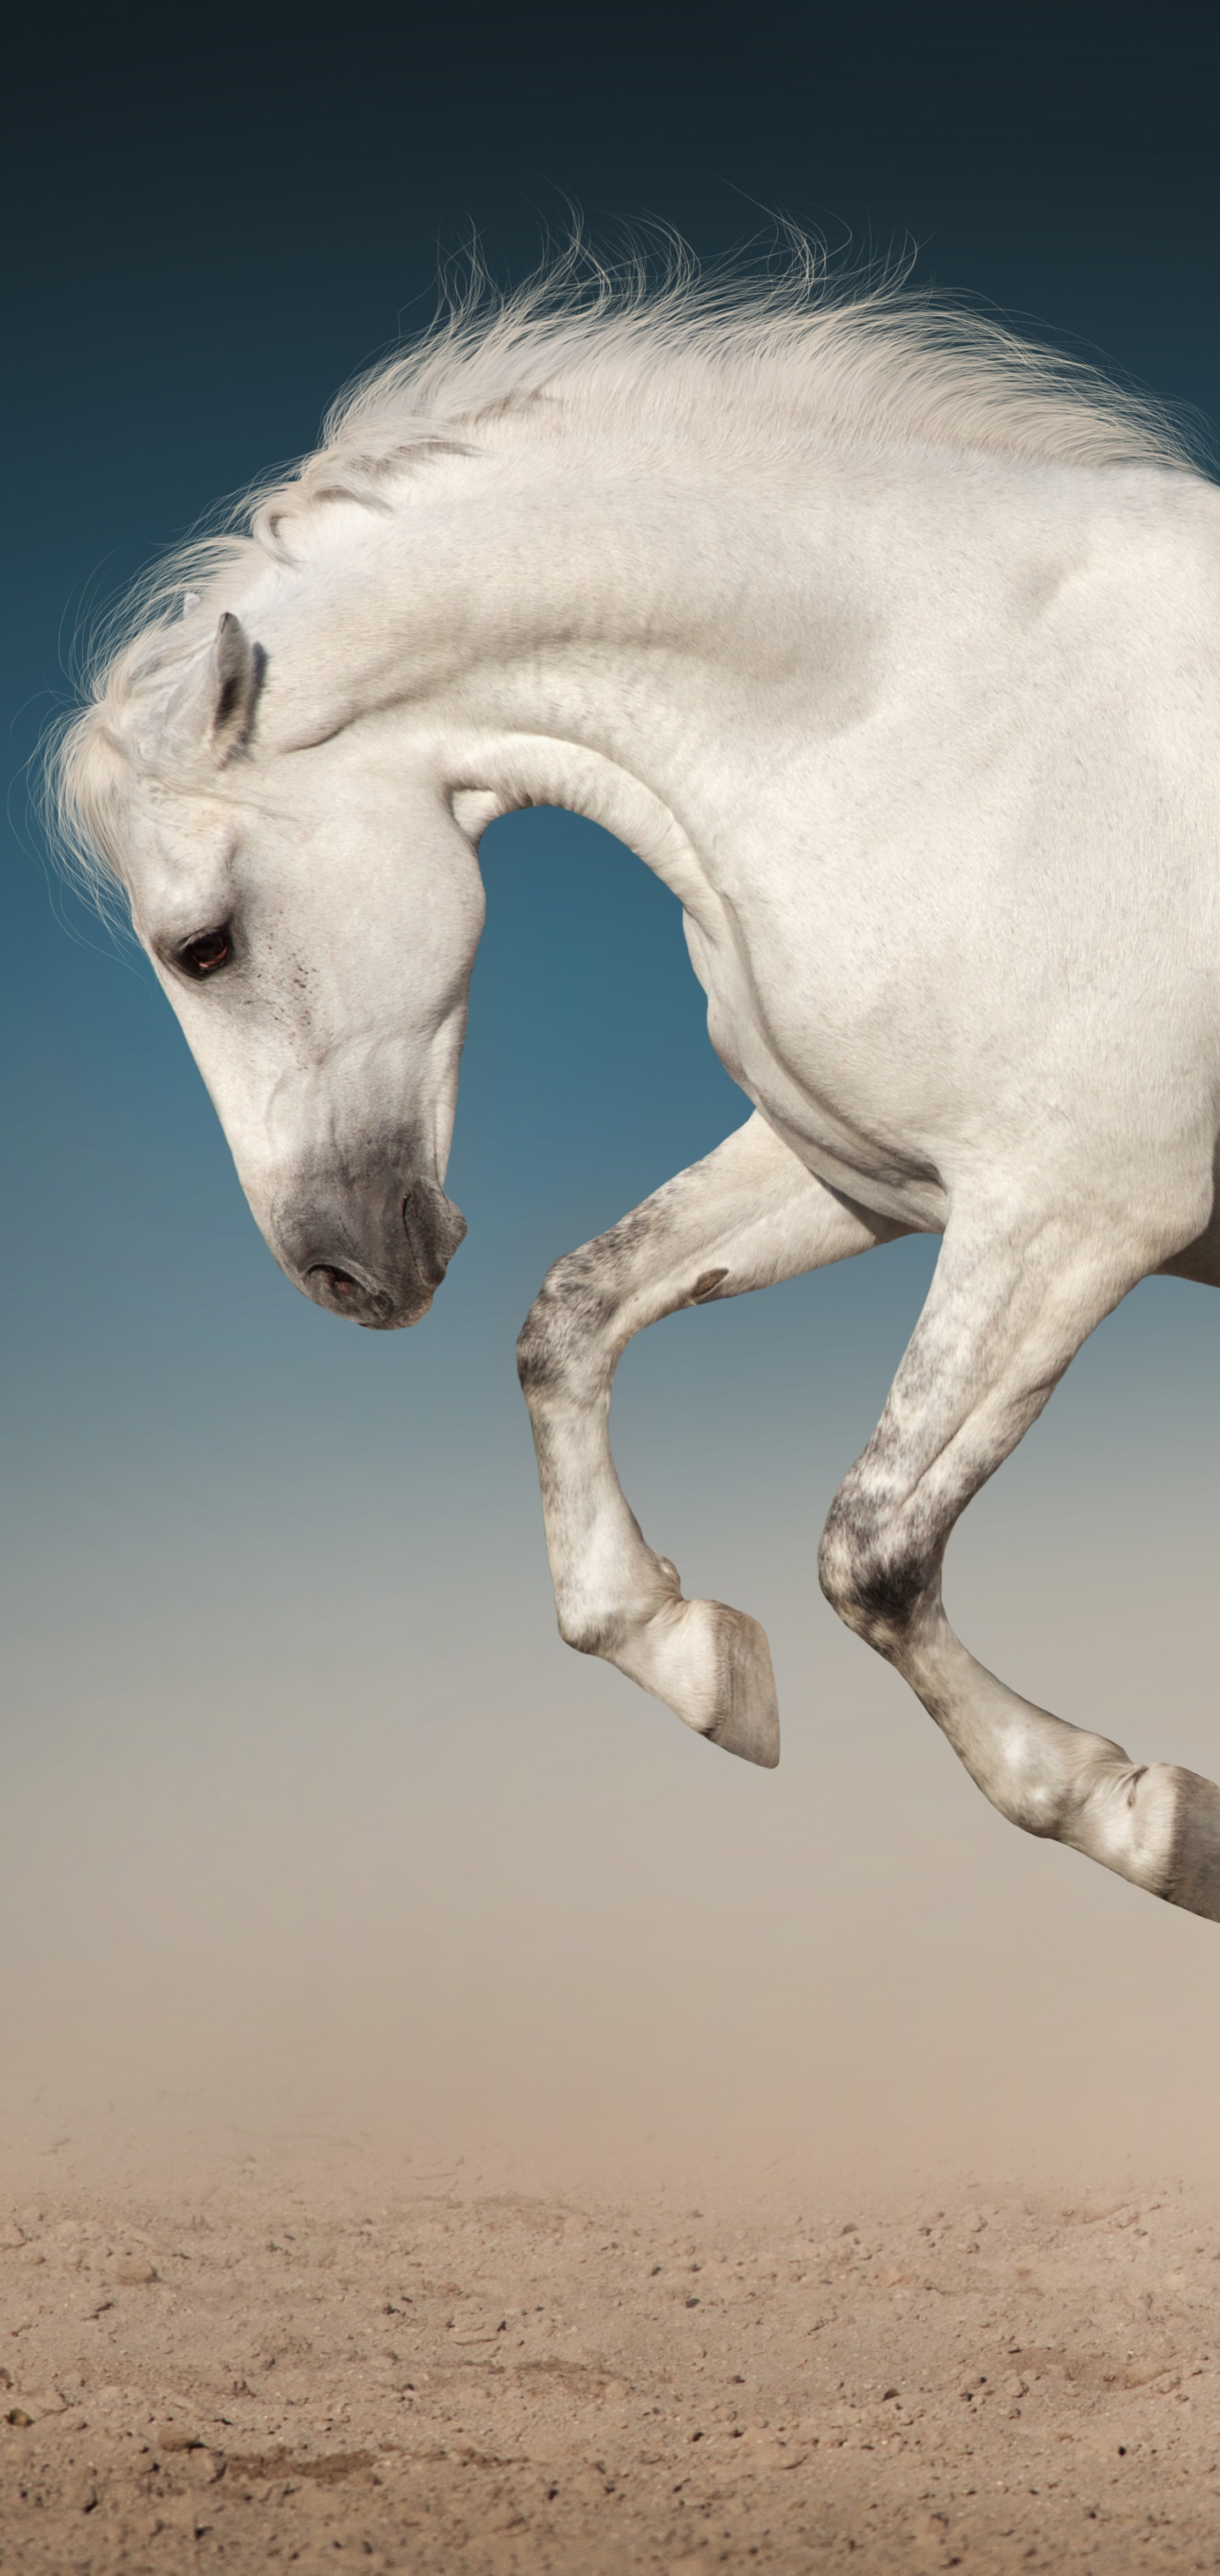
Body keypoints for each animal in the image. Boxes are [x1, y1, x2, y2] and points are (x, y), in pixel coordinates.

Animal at [53, 249, 1220, 1926]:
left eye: (201, 947)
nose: (341, 1272)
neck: (928, 707)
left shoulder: (1074, 1217)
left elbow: (873, 1548)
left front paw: (1150, 1817)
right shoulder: (869, 1178)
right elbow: (573, 1320)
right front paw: (693, 1658)